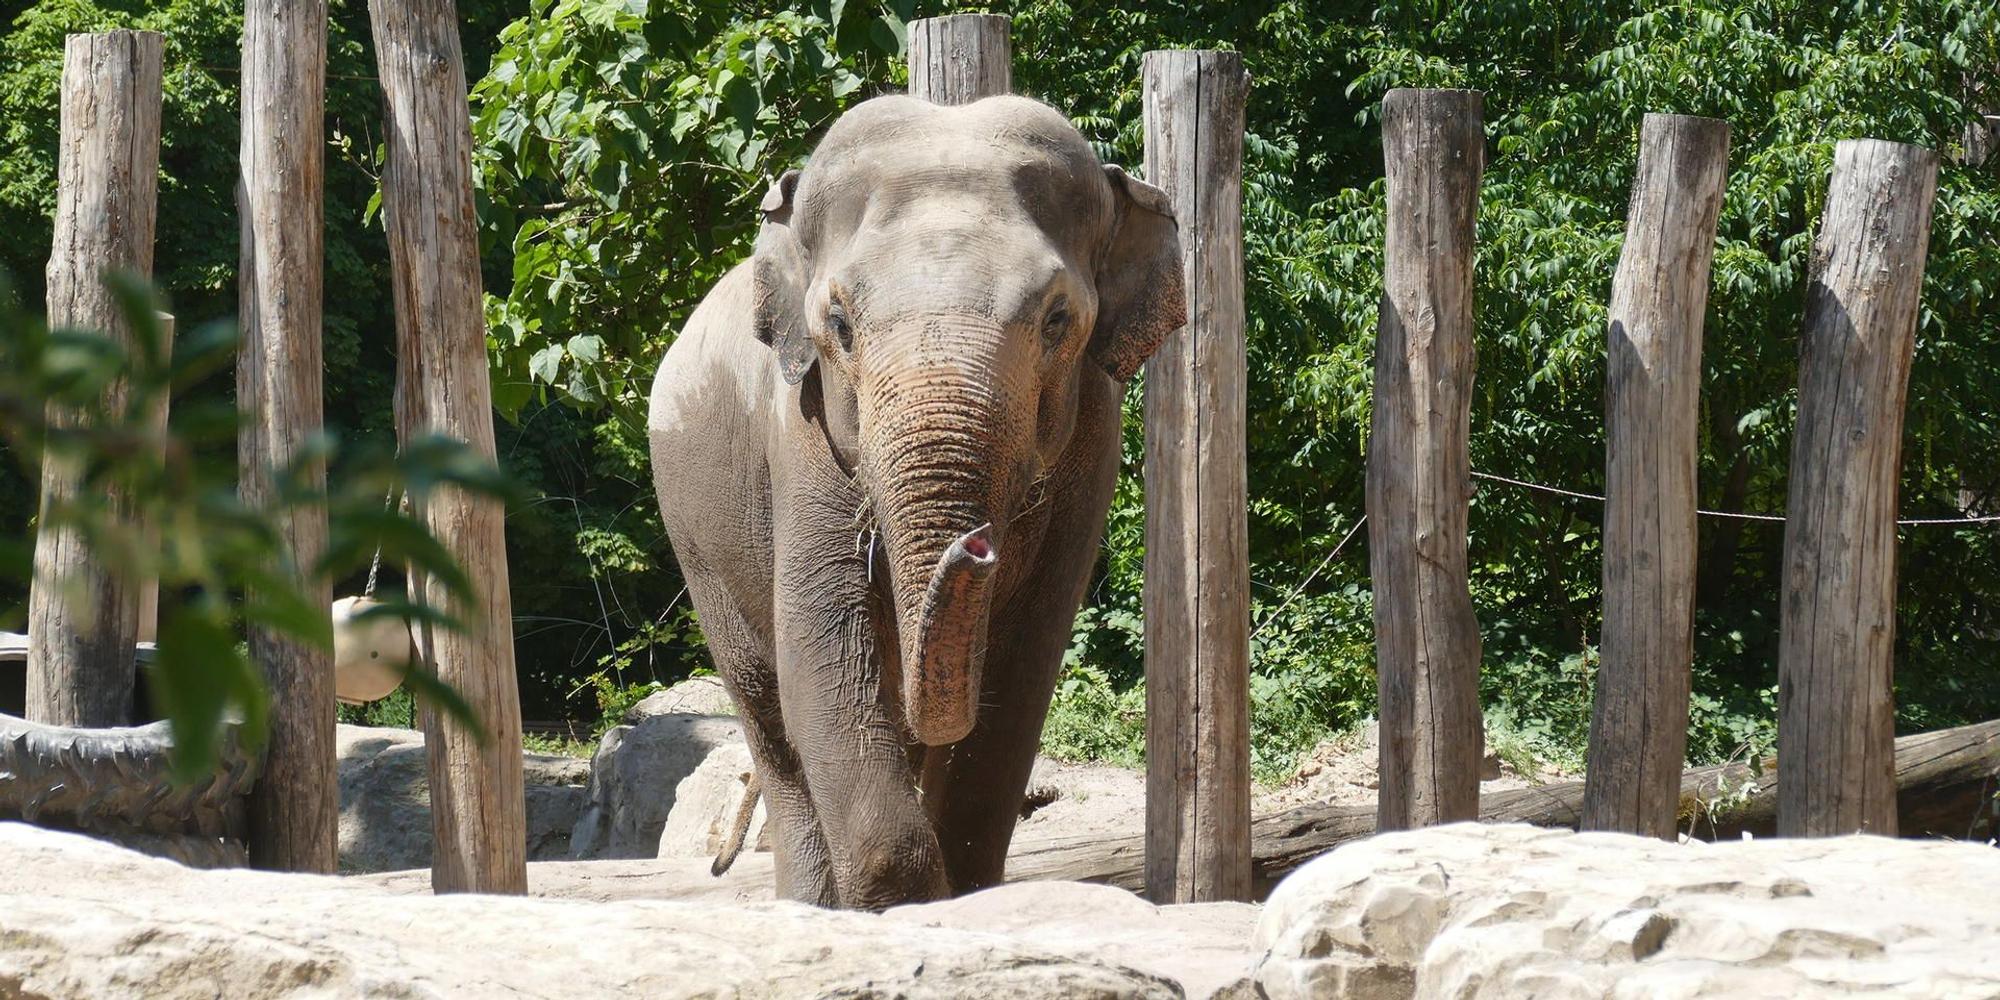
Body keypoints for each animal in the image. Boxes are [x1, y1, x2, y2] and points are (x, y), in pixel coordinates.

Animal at [647, 92, 1185, 910]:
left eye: (1058, 319)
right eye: (838, 324)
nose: (978, 544)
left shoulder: (1094, 438)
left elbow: (1021, 669)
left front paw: (964, 895)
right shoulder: (800, 429)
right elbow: (824, 651)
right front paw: (900, 901)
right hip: (697, 537)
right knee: (768, 710)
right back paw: (808, 902)